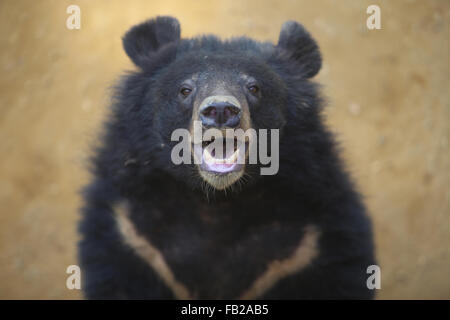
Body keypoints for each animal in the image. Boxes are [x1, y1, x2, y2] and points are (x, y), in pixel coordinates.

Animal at [80, 15, 376, 300]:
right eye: (185, 89)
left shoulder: (310, 245)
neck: (217, 201)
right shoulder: (131, 237)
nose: (221, 110)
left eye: (254, 88)